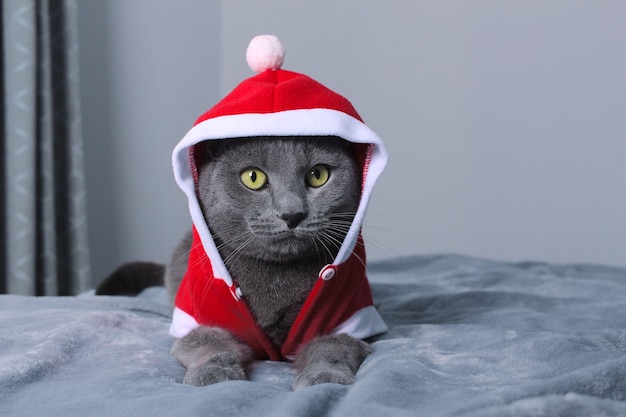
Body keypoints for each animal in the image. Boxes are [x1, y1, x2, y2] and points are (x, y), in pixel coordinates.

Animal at [98, 135, 376, 388]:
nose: (292, 214)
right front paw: (213, 373)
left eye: (318, 175)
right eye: (253, 178)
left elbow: (332, 347)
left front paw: (324, 376)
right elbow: (208, 341)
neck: (277, 277)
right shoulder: (196, 316)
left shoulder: (346, 318)